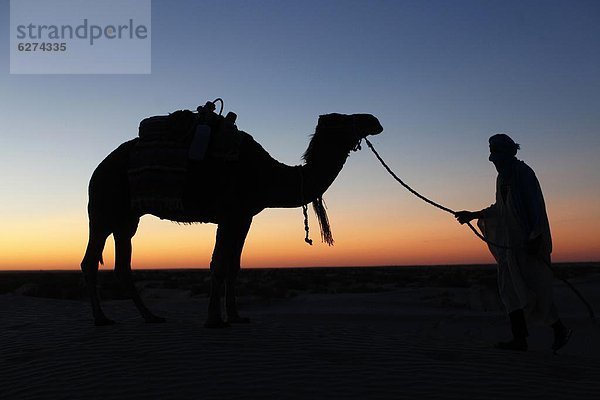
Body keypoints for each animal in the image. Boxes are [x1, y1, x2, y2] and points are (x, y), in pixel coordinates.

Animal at [79, 111, 382, 326]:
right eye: (343, 119)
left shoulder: (244, 217)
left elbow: (234, 267)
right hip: (102, 210)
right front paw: (214, 319)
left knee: (122, 265)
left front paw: (235, 316)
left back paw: (150, 316)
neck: (266, 175)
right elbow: (218, 265)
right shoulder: (228, 213)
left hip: (127, 219)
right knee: (89, 261)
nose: (374, 120)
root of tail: (97, 169)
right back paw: (101, 318)